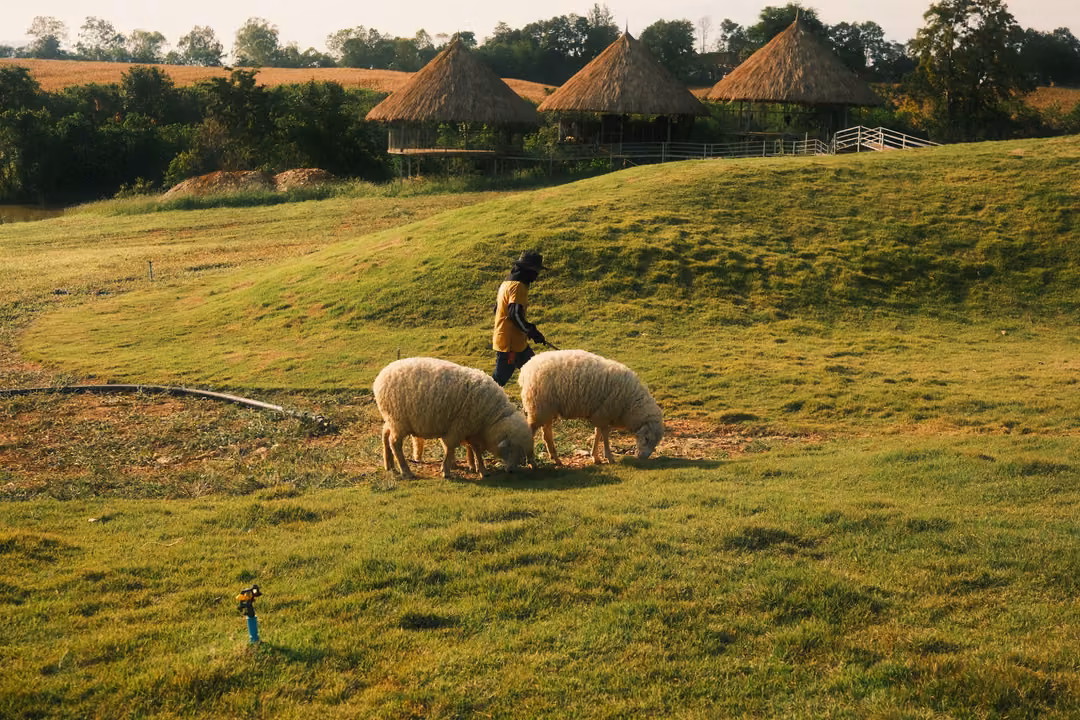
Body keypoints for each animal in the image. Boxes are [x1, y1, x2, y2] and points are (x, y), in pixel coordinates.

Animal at [373, 357, 534, 479]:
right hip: (399, 420)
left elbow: (475, 449)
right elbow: (450, 447)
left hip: (392, 419)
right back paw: (406, 471)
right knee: (395, 443)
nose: (512, 470)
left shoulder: (472, 429)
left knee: (385, 434)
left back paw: (389, 464)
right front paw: (446, 470)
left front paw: (482, 470)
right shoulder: (460, 426)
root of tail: (380, 378)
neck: (491, 417)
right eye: (512, 449)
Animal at [519, 349, 664, 465]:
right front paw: (609, 457)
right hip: (538, 407)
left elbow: (597, 434)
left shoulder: (599, 413)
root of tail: (526, 369)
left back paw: (556, 459)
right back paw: (532, 462)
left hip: (547, 408)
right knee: (531, 431)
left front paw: (595, 457)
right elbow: (604, 435)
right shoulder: (605, 413)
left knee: (547, 434)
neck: (630, 403)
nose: (642, 458)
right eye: (646, 439)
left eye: (655, 443)